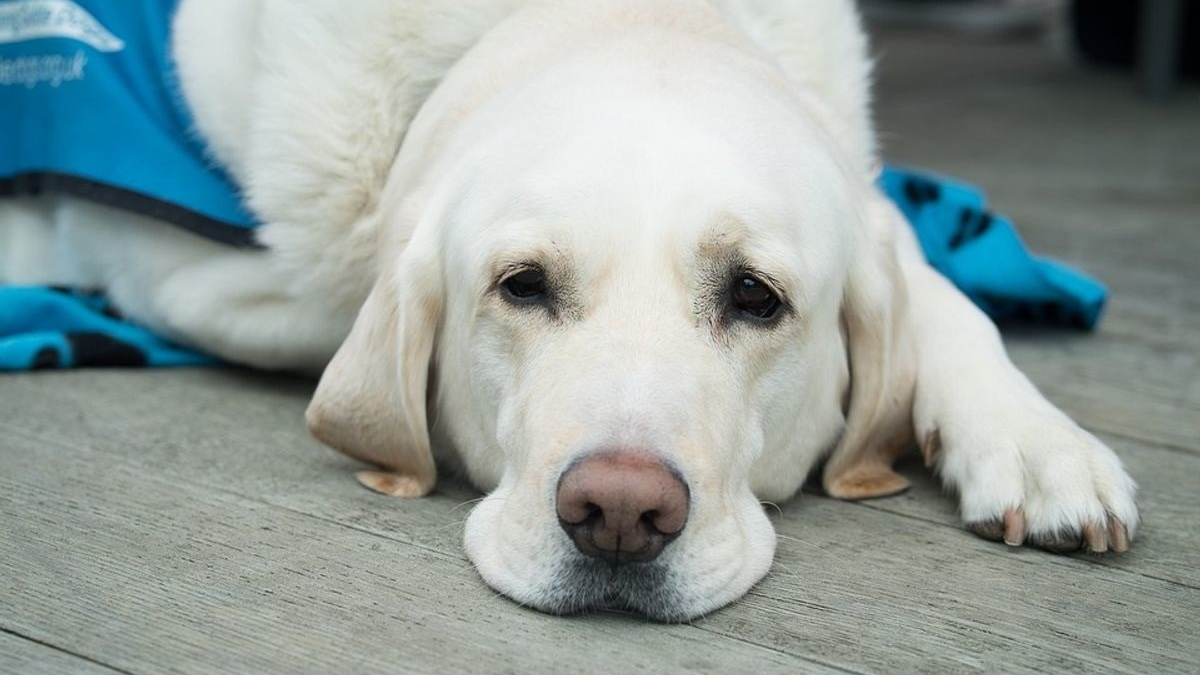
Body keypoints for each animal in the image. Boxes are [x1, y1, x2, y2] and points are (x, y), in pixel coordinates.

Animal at [0, 0, 1137, 619]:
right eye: (522, 285)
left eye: (755, 296)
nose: (621, 514)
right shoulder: (198, 272)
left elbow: (939, 296)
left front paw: (1039, 443)